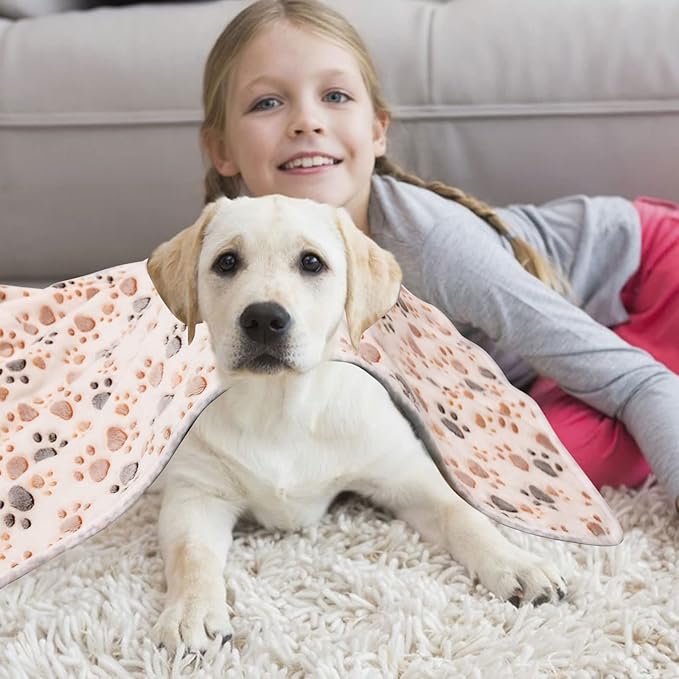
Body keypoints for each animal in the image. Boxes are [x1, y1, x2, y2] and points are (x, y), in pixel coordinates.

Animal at [149, 195, 568, 652]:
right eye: (226, 262)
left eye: (311, 262)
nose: (262, 319)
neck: (282, 408)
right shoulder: (197, 494)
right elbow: (191, 554)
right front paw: (192, 611)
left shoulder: (408, 474)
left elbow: (464, 515)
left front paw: (516, 562)